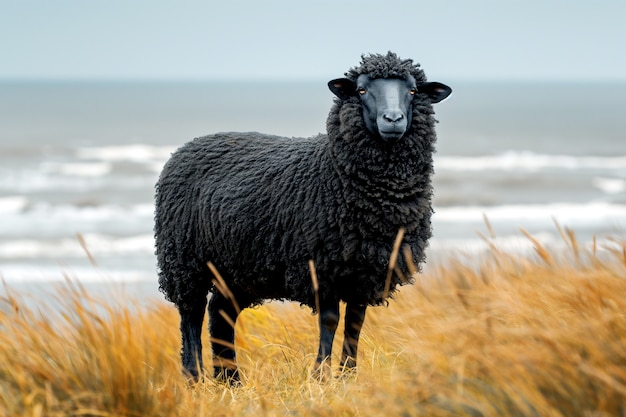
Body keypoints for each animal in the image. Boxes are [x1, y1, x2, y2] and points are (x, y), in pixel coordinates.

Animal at [155, 51, 448, 380]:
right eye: (361, 90)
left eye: (412, 91)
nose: (393, 120)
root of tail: (186, 147)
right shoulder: (322, 267)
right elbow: (330, 320)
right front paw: (320, 375)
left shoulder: (365, 272)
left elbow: (355, 323)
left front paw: (348, 375)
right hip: (183, 260)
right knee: (190, 314)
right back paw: (194, 377)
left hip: (236, 266)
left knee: (221, 313)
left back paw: (229, 380)